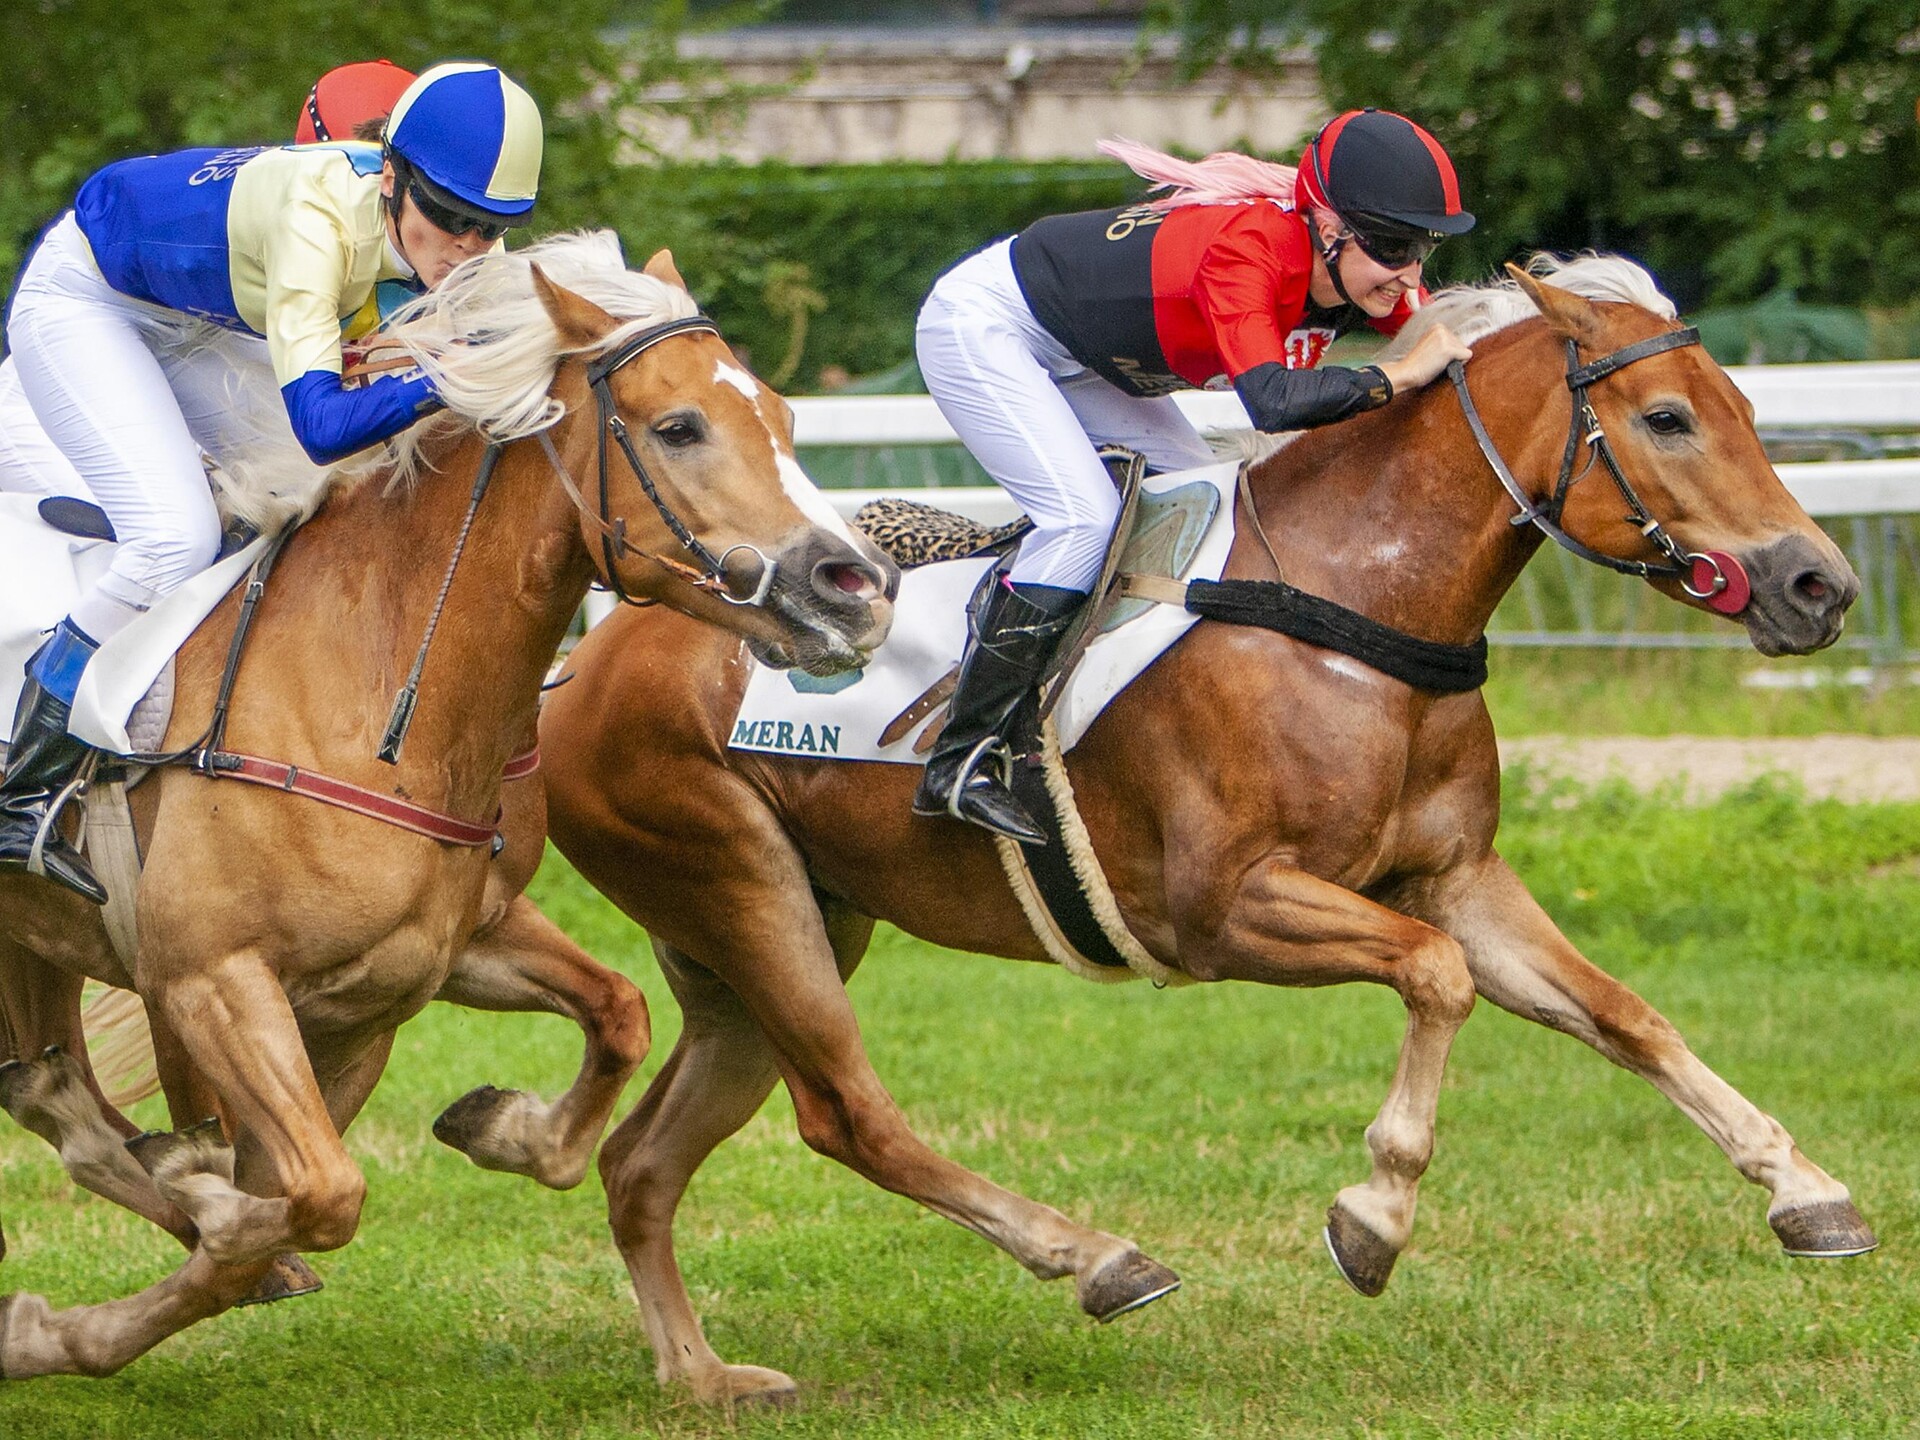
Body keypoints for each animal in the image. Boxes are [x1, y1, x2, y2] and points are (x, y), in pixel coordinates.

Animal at [0, 231, 897, 1380]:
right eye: (680, 426)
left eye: (783, 416)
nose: (856, 588)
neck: (379, 684)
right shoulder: (212, 979)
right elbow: (310, 1194)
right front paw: (87, 1302)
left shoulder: (417, 967)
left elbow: (617, 1013)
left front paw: (503, 1126)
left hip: (34, 938)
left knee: (51, 1093)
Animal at [521, 257, 1874, 1405]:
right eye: (1668, 419)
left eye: (1742, 405)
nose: (1822, 587)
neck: (1348, 599)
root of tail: (587, 659)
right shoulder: (1225, 909)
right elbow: (1435, 980)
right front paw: (1374, 1215)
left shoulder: (1457, 877)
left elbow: (1626, 1016)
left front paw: (1805, 1190)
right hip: (741, 887)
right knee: (849, 1117)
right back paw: (1096, 1257)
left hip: (771, 932)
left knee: (643, 1163)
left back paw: (694, 1368)